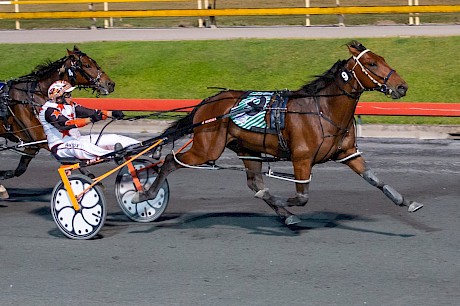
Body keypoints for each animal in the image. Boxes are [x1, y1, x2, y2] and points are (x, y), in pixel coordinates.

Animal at [0, 46, 114, 197]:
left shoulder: (33, 144)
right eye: (87, 65)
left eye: (94, 62)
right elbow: (70, 161)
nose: (110, 84)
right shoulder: (42, 140)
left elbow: (21, 168)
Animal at [133, 40, 424, 225]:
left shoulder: (348, 153)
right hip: (207, 148)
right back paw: (144, 195)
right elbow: (302, 196)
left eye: (383, 59)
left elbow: (374, 179)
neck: (322, 109)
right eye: (372, 64)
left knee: (254, 183)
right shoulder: (301, 158)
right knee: (170, 160)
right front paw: (288, 201)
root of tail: (206, 103)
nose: (402, 87)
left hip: (247, 150)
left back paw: (283, 213)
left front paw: (407, 202)